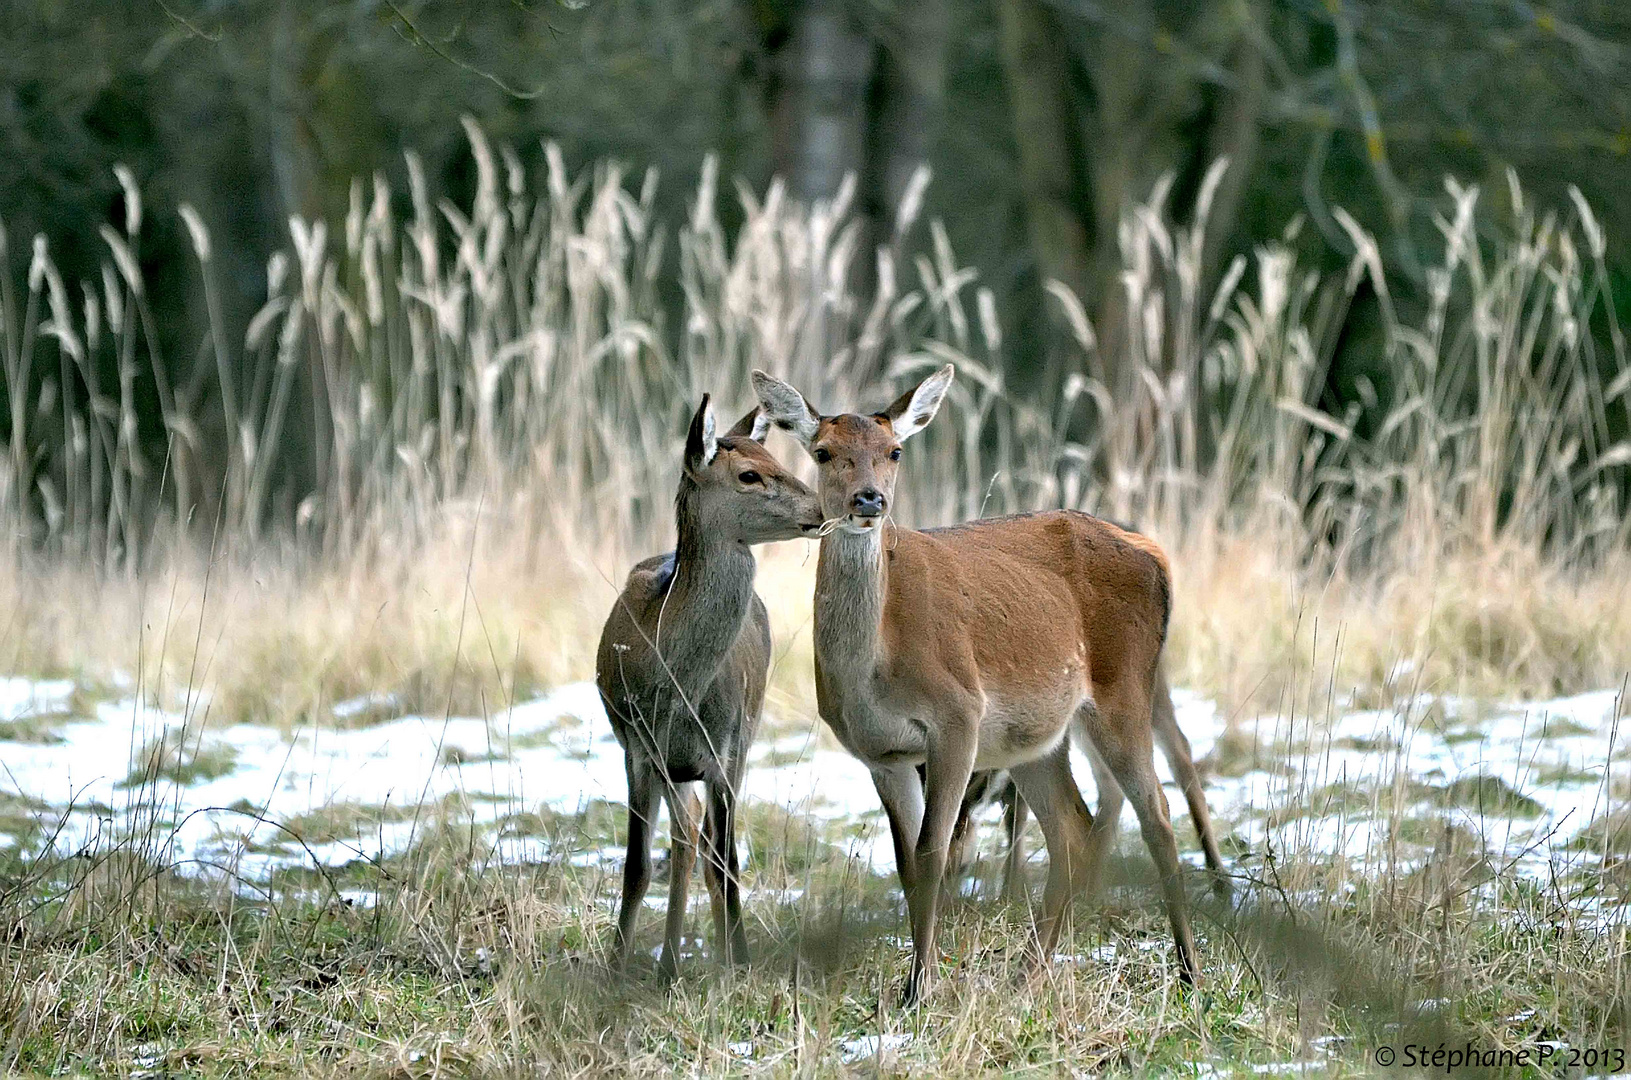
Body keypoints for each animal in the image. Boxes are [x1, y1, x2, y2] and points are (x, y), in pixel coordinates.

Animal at [596, 396, 822, 978]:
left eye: (774, 456)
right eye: (749, 474)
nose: (821, 508)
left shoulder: (725, 747)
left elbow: (726, 858)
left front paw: (735, 960)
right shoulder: (639, 746)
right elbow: (639, 864)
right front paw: (621, 965)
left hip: (745, 735)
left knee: (706, 845)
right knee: (685, 838)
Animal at [756, 365, 1206, 1004]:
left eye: (894, 451)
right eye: (822, 452)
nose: (869, 499)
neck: (875, 666)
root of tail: (1157, 554)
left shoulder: (957, 715)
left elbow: (933, 853)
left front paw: (917, 991)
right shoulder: (880, 753)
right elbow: (906, 862)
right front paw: (919, 983)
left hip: (1123, 690)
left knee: (1159, 816)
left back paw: (1190, 970)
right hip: (1034, 737)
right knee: (1072, 829)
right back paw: (1029, 972)